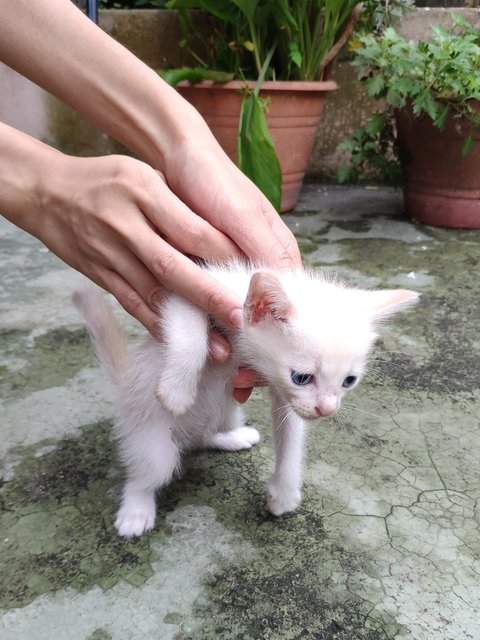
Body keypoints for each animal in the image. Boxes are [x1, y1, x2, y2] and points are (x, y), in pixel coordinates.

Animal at [73, 262, 418, 536]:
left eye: (349, 381)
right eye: (302, 377)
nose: (326, 410)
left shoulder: (284, 394)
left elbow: (291, 436)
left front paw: (284, 492)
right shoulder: (194, 291)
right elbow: (189, 332)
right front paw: (177, 390)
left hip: (226, 408)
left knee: (205, 434)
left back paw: (232, 437)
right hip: (149, 437)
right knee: (146, 473)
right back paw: (136, 510)